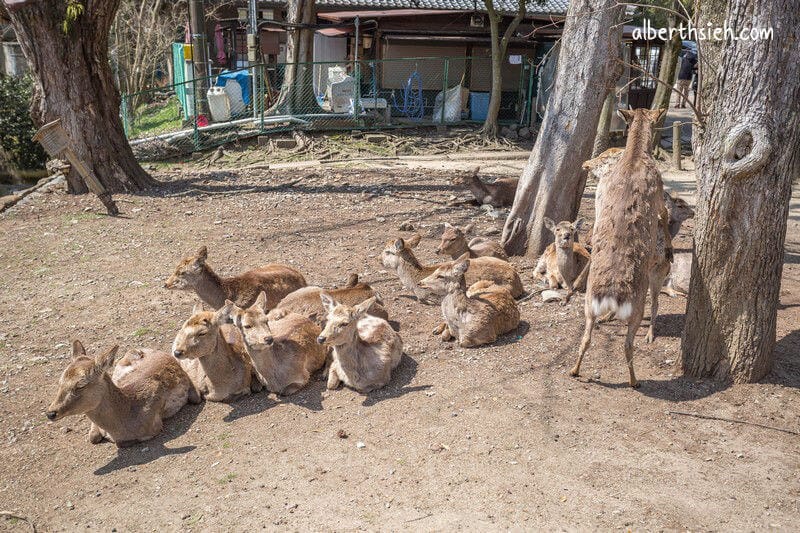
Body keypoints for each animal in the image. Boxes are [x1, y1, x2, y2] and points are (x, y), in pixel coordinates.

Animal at [571, 108, 673, 388]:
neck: (634, 156)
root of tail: (610, 295)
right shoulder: (660, 191)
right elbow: (665, 215)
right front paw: (670, 246)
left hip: (588, 306)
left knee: (586, 337)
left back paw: (574, 370)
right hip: (636, 307)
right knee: (629, 342)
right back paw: (635, 380)